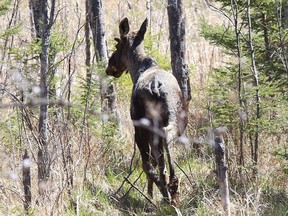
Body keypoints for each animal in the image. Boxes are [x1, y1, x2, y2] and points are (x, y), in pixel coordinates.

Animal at [105, 17, 187, 205]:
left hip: (143, 125)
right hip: (178, 120)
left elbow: (149, 162)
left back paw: (165, 191)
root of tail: (156, 87)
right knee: (166, 143)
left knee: (150, 162)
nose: (109, 67)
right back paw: (173, 188)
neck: (138, 70)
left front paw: (150, 194)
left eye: (117, 45)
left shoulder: (137, 124)